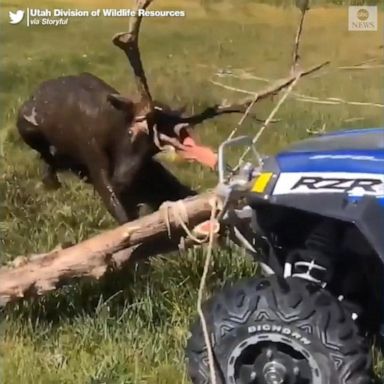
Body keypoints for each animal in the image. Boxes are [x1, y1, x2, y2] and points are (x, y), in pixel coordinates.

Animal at [17, 0, 328, 224]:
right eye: (132, 132)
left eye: (153, 150)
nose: (123, 181)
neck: (112, 124)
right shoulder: (92, 153)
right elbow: (121, 214)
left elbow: (178, 190)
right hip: (26, 127)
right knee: (46, 155)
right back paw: (51, 180)